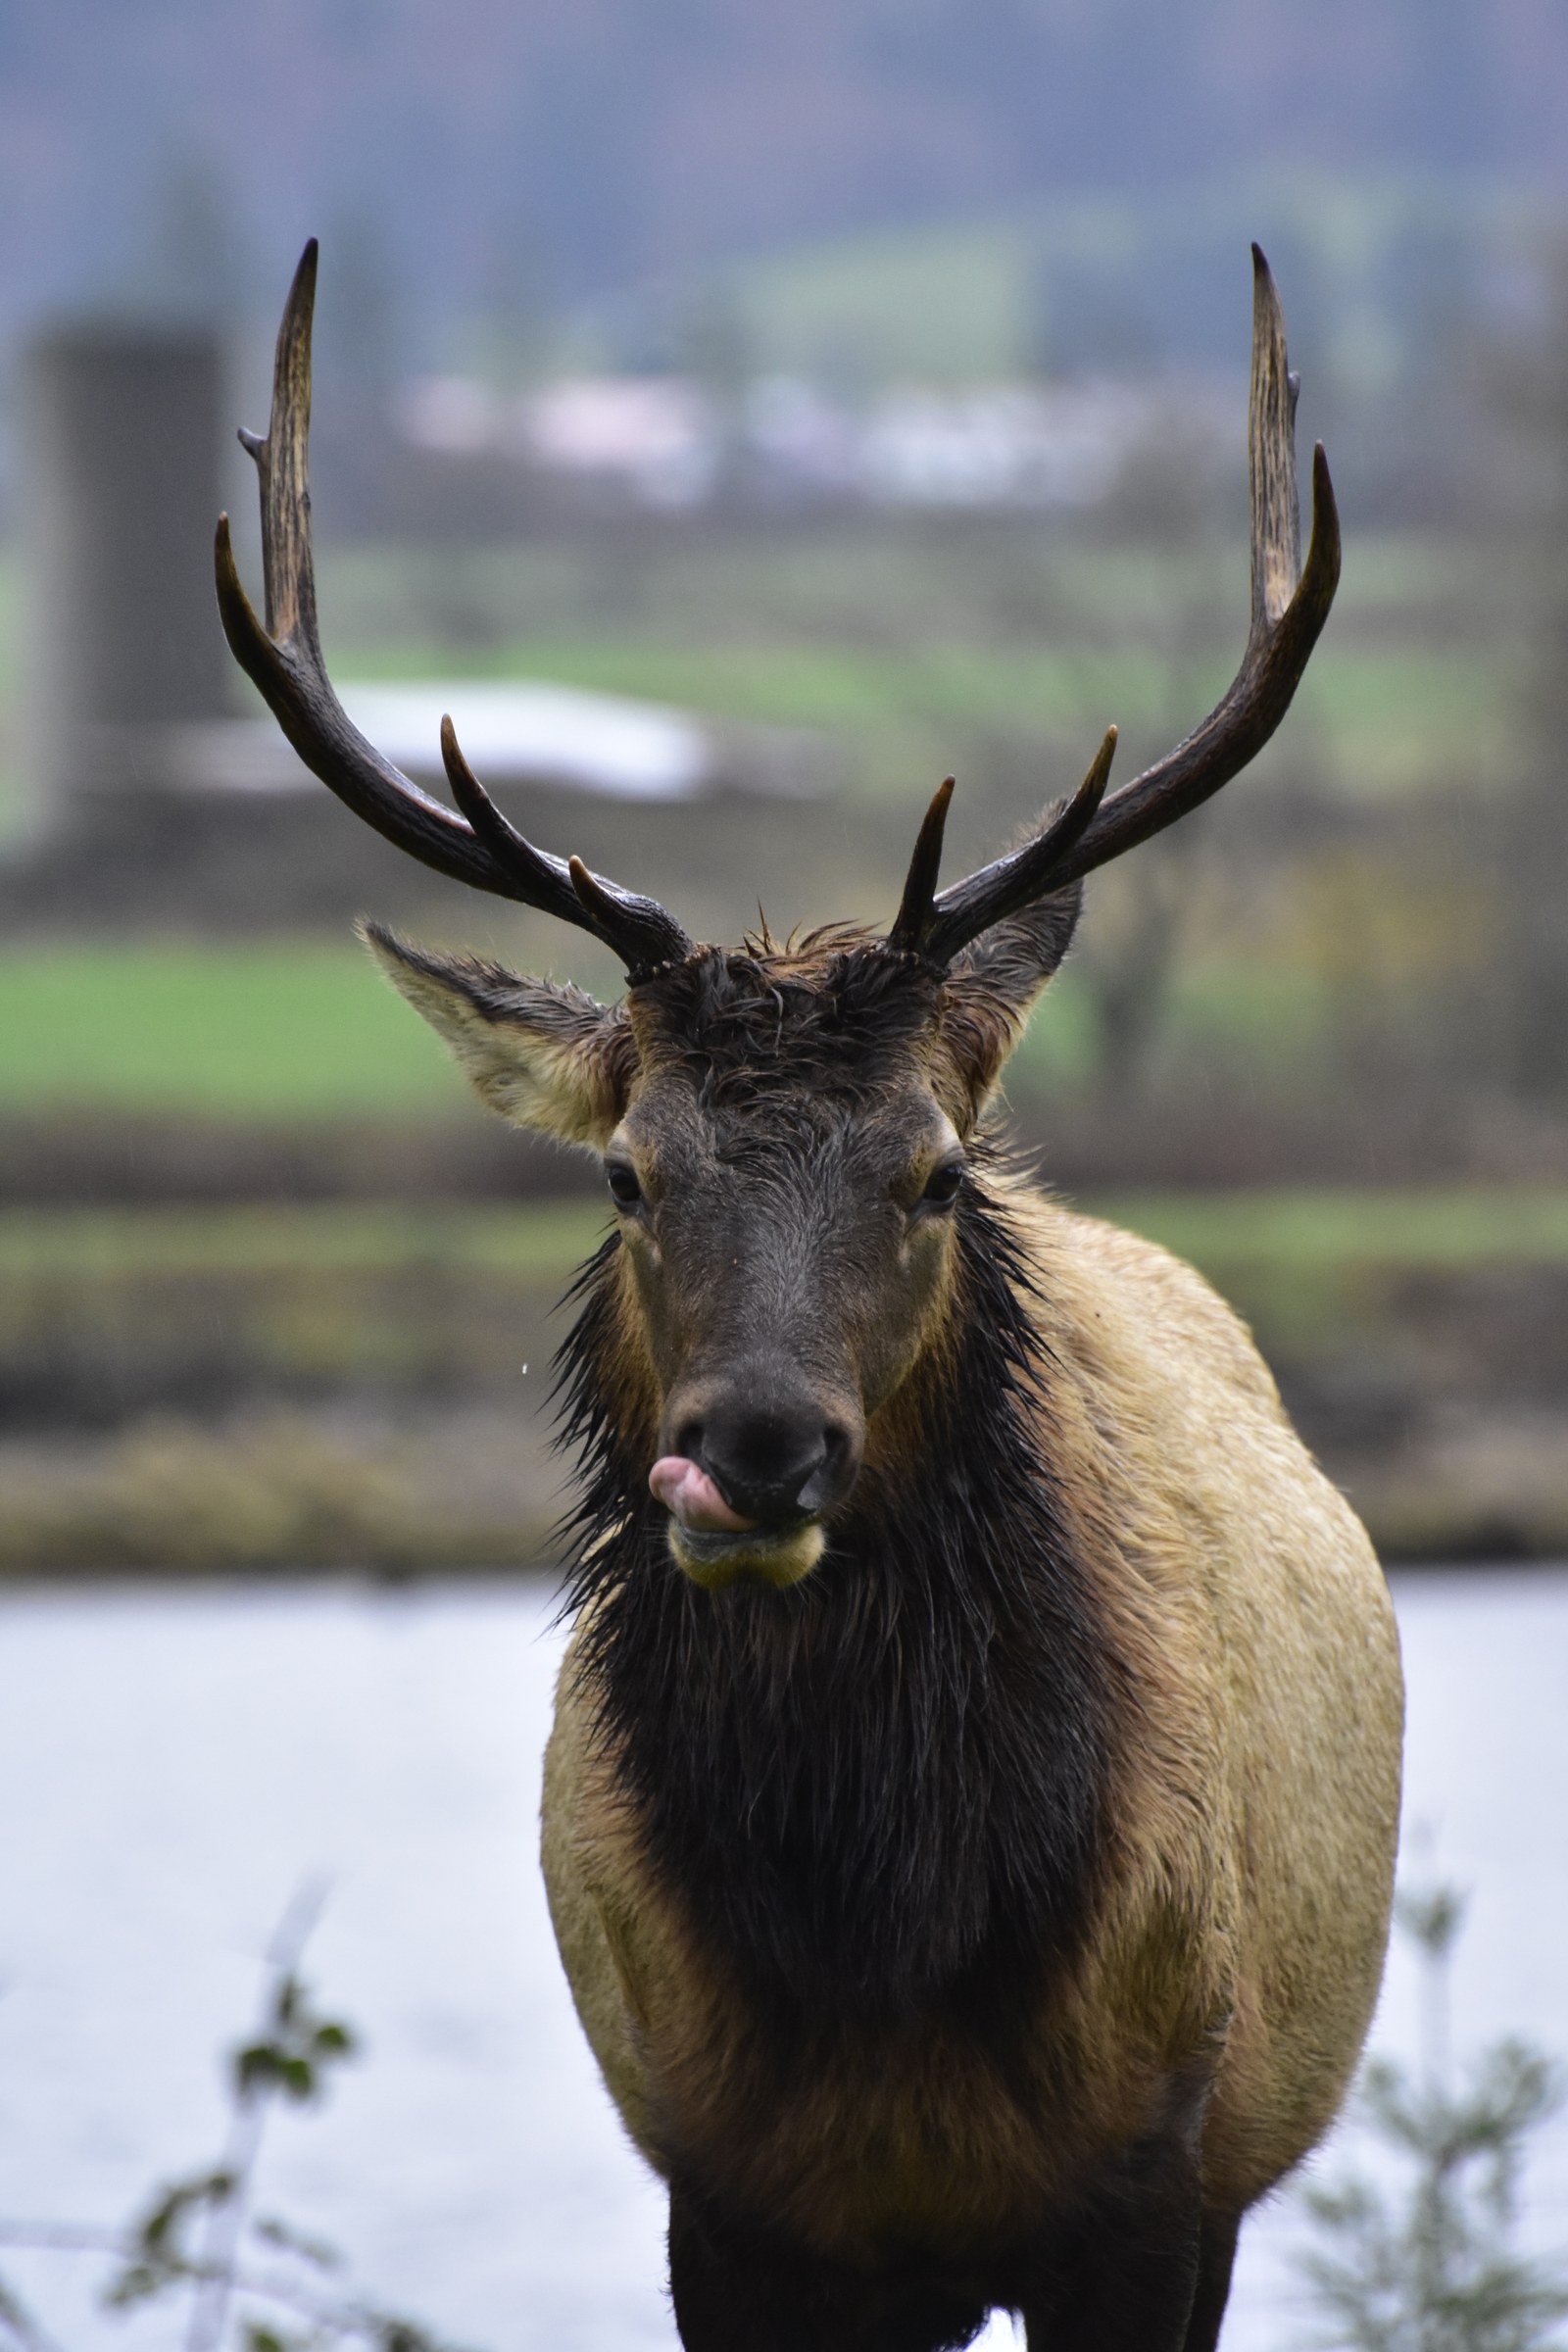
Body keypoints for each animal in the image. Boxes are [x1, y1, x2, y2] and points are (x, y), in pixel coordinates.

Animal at [215, 242, 1403, 2352]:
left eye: (927, 1169)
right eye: (627, 1172)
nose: (755, 1449)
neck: (884, 1988)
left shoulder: (1162, 2186)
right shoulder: (730, 2203)